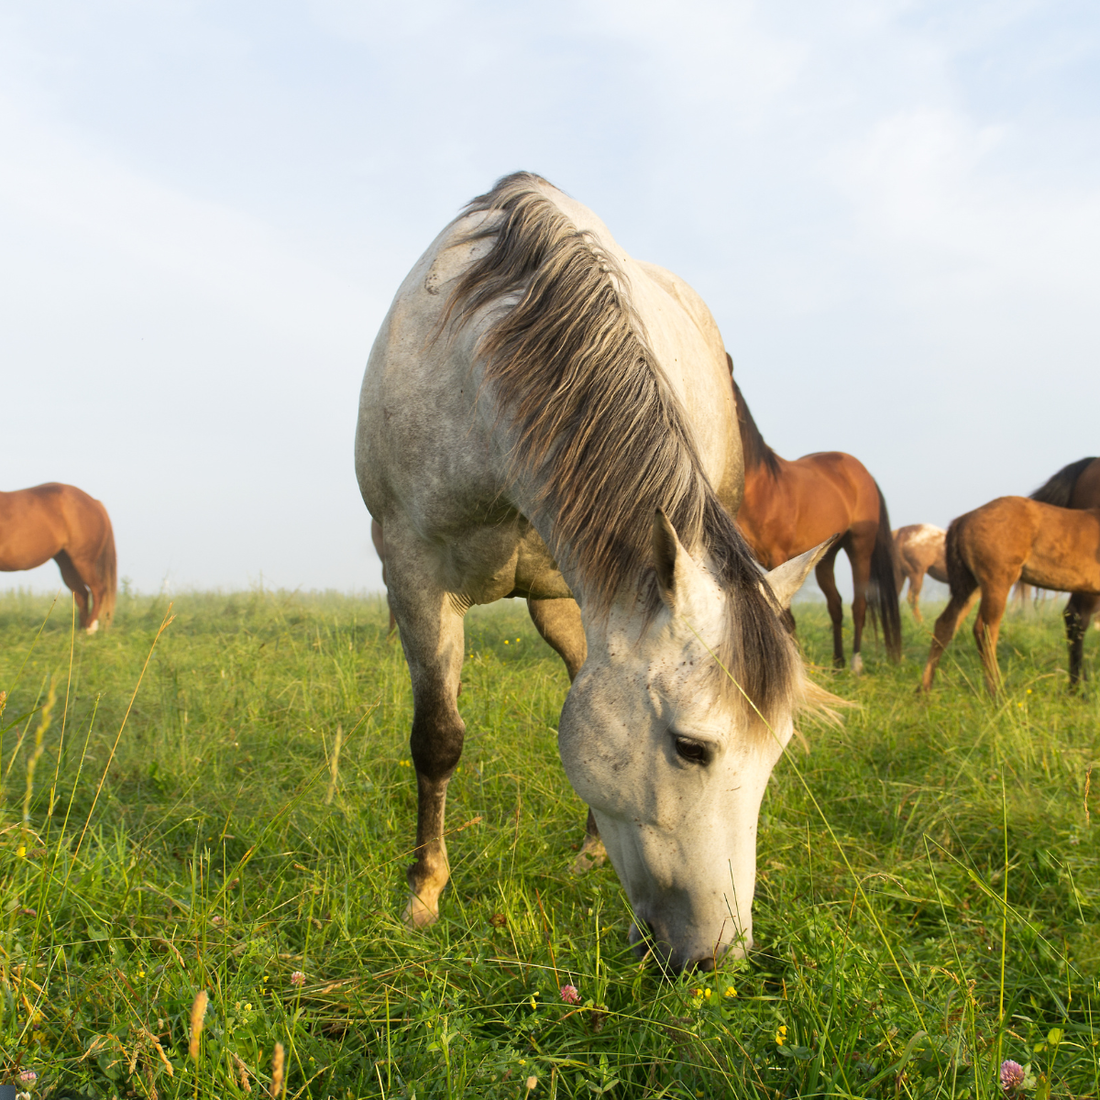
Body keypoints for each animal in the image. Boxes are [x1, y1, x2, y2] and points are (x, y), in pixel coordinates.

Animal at [0, 483, 117, 632]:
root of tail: (95, 502)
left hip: (84, 561)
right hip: (67, 564)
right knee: (82, 594)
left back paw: (90, 629)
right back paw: (79, 633)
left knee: (97, 589)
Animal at [355, 173, 832, 972]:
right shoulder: (415, 572)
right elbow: (437, 737)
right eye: (691, 748)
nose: (717, 959)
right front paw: (423, 895)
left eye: (780, 749)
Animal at [730, 376, 902, 671]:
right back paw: (838, 663)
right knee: (835, 604)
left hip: (860, 547)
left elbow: (785, 616)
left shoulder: (778, 556)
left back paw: (855, 663)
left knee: (859, 604)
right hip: (826, 556)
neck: (761, 488)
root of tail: (862, 471)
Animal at [920, 497, 1100, 693]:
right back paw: (997, 693)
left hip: (971, 585)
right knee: (985, 630)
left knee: (945, 624)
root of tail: (962, 520)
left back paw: (923, 691)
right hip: (997, 583)